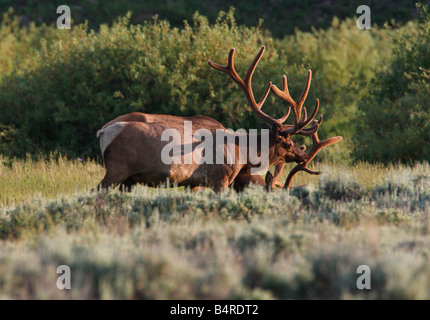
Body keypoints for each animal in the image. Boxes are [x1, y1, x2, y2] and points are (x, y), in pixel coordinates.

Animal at [97, 47, 342, 192]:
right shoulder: (219, 178)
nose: (303, 155)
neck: (243, 154)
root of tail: (103, 132)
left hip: (129, 179)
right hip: (117, 169)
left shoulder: (194, 183)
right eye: (288, 143)